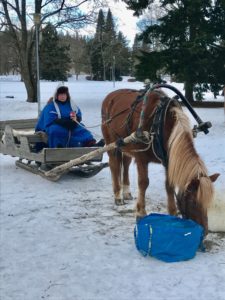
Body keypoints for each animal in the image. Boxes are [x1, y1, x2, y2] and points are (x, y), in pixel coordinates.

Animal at [101, 89, 220, 234]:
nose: (204, 232)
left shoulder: (169, 160)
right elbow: (143, 183)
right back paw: (118, 196)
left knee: (126, 163)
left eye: (208, 203)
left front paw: (173, 213)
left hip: (125, 145)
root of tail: (111, 95)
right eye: (193, 201)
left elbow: (169, 185)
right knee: (114, 165)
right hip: (111, 142)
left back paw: (126, 192)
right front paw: (141, 212)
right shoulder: (141, 158)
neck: (160, 123)